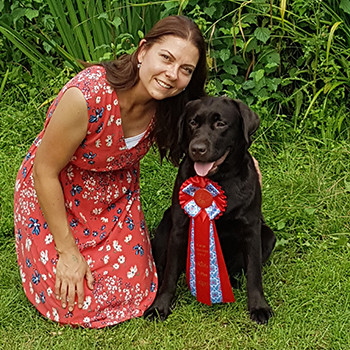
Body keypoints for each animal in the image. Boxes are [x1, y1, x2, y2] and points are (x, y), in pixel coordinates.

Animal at [145, 96, 276, 326]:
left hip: (267, 235)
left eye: (220, 124)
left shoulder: (252, 230)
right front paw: (159, 307)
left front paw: (259, 307)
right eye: (193, 123)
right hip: (165, 226)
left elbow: (254, 274)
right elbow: (169, 275)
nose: (197, 148)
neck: (218, 181)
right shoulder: (179, 229)